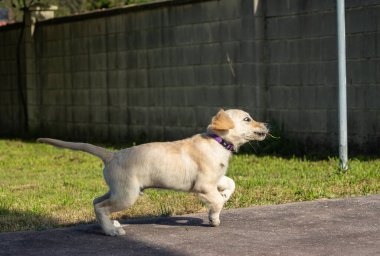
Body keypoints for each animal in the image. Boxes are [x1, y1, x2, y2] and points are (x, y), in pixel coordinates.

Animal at [37, 108, 268, 236]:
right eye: (247, 119)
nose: (266, 124)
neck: (217, 141)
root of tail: (112, 155)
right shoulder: (203, 185)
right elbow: (217, 201)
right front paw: (213, 217)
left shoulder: (214, 179)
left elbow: (230, 184)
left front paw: (224, 196)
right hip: (127, 195)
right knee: (101, 207)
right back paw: (112, 231)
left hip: (118, 190)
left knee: (96, 202)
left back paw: (111, 225)